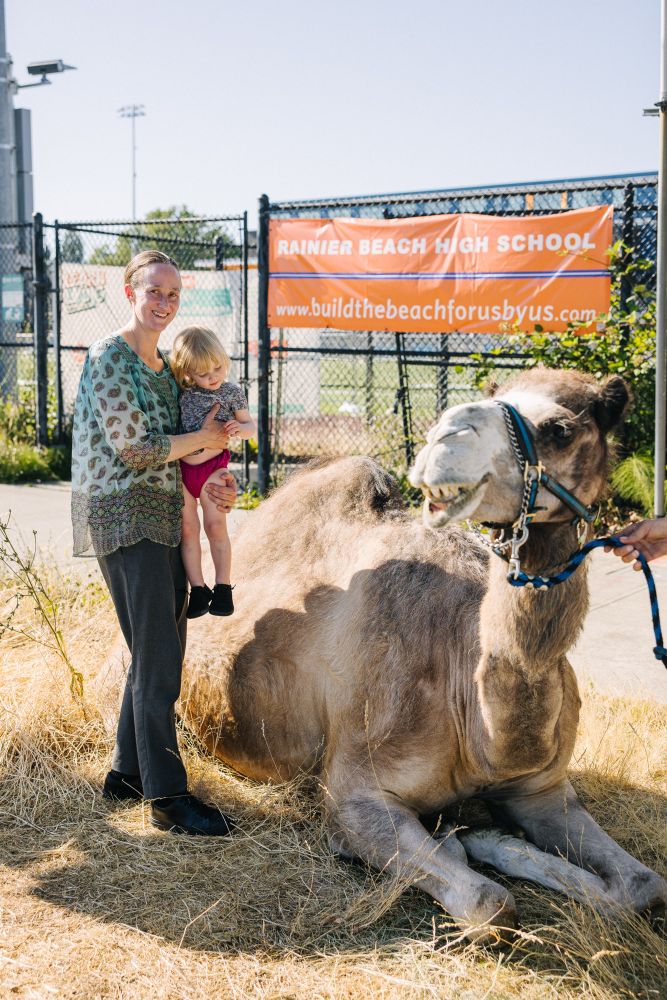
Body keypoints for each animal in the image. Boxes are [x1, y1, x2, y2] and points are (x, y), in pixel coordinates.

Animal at [178, 366, 666, 938]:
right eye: (498, 394)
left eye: (561, 429)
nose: (446, 440)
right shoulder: (354, 794)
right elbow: (489, 902)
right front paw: (463, 842)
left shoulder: (541, 789)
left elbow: (643, 886)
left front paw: (488, 837)